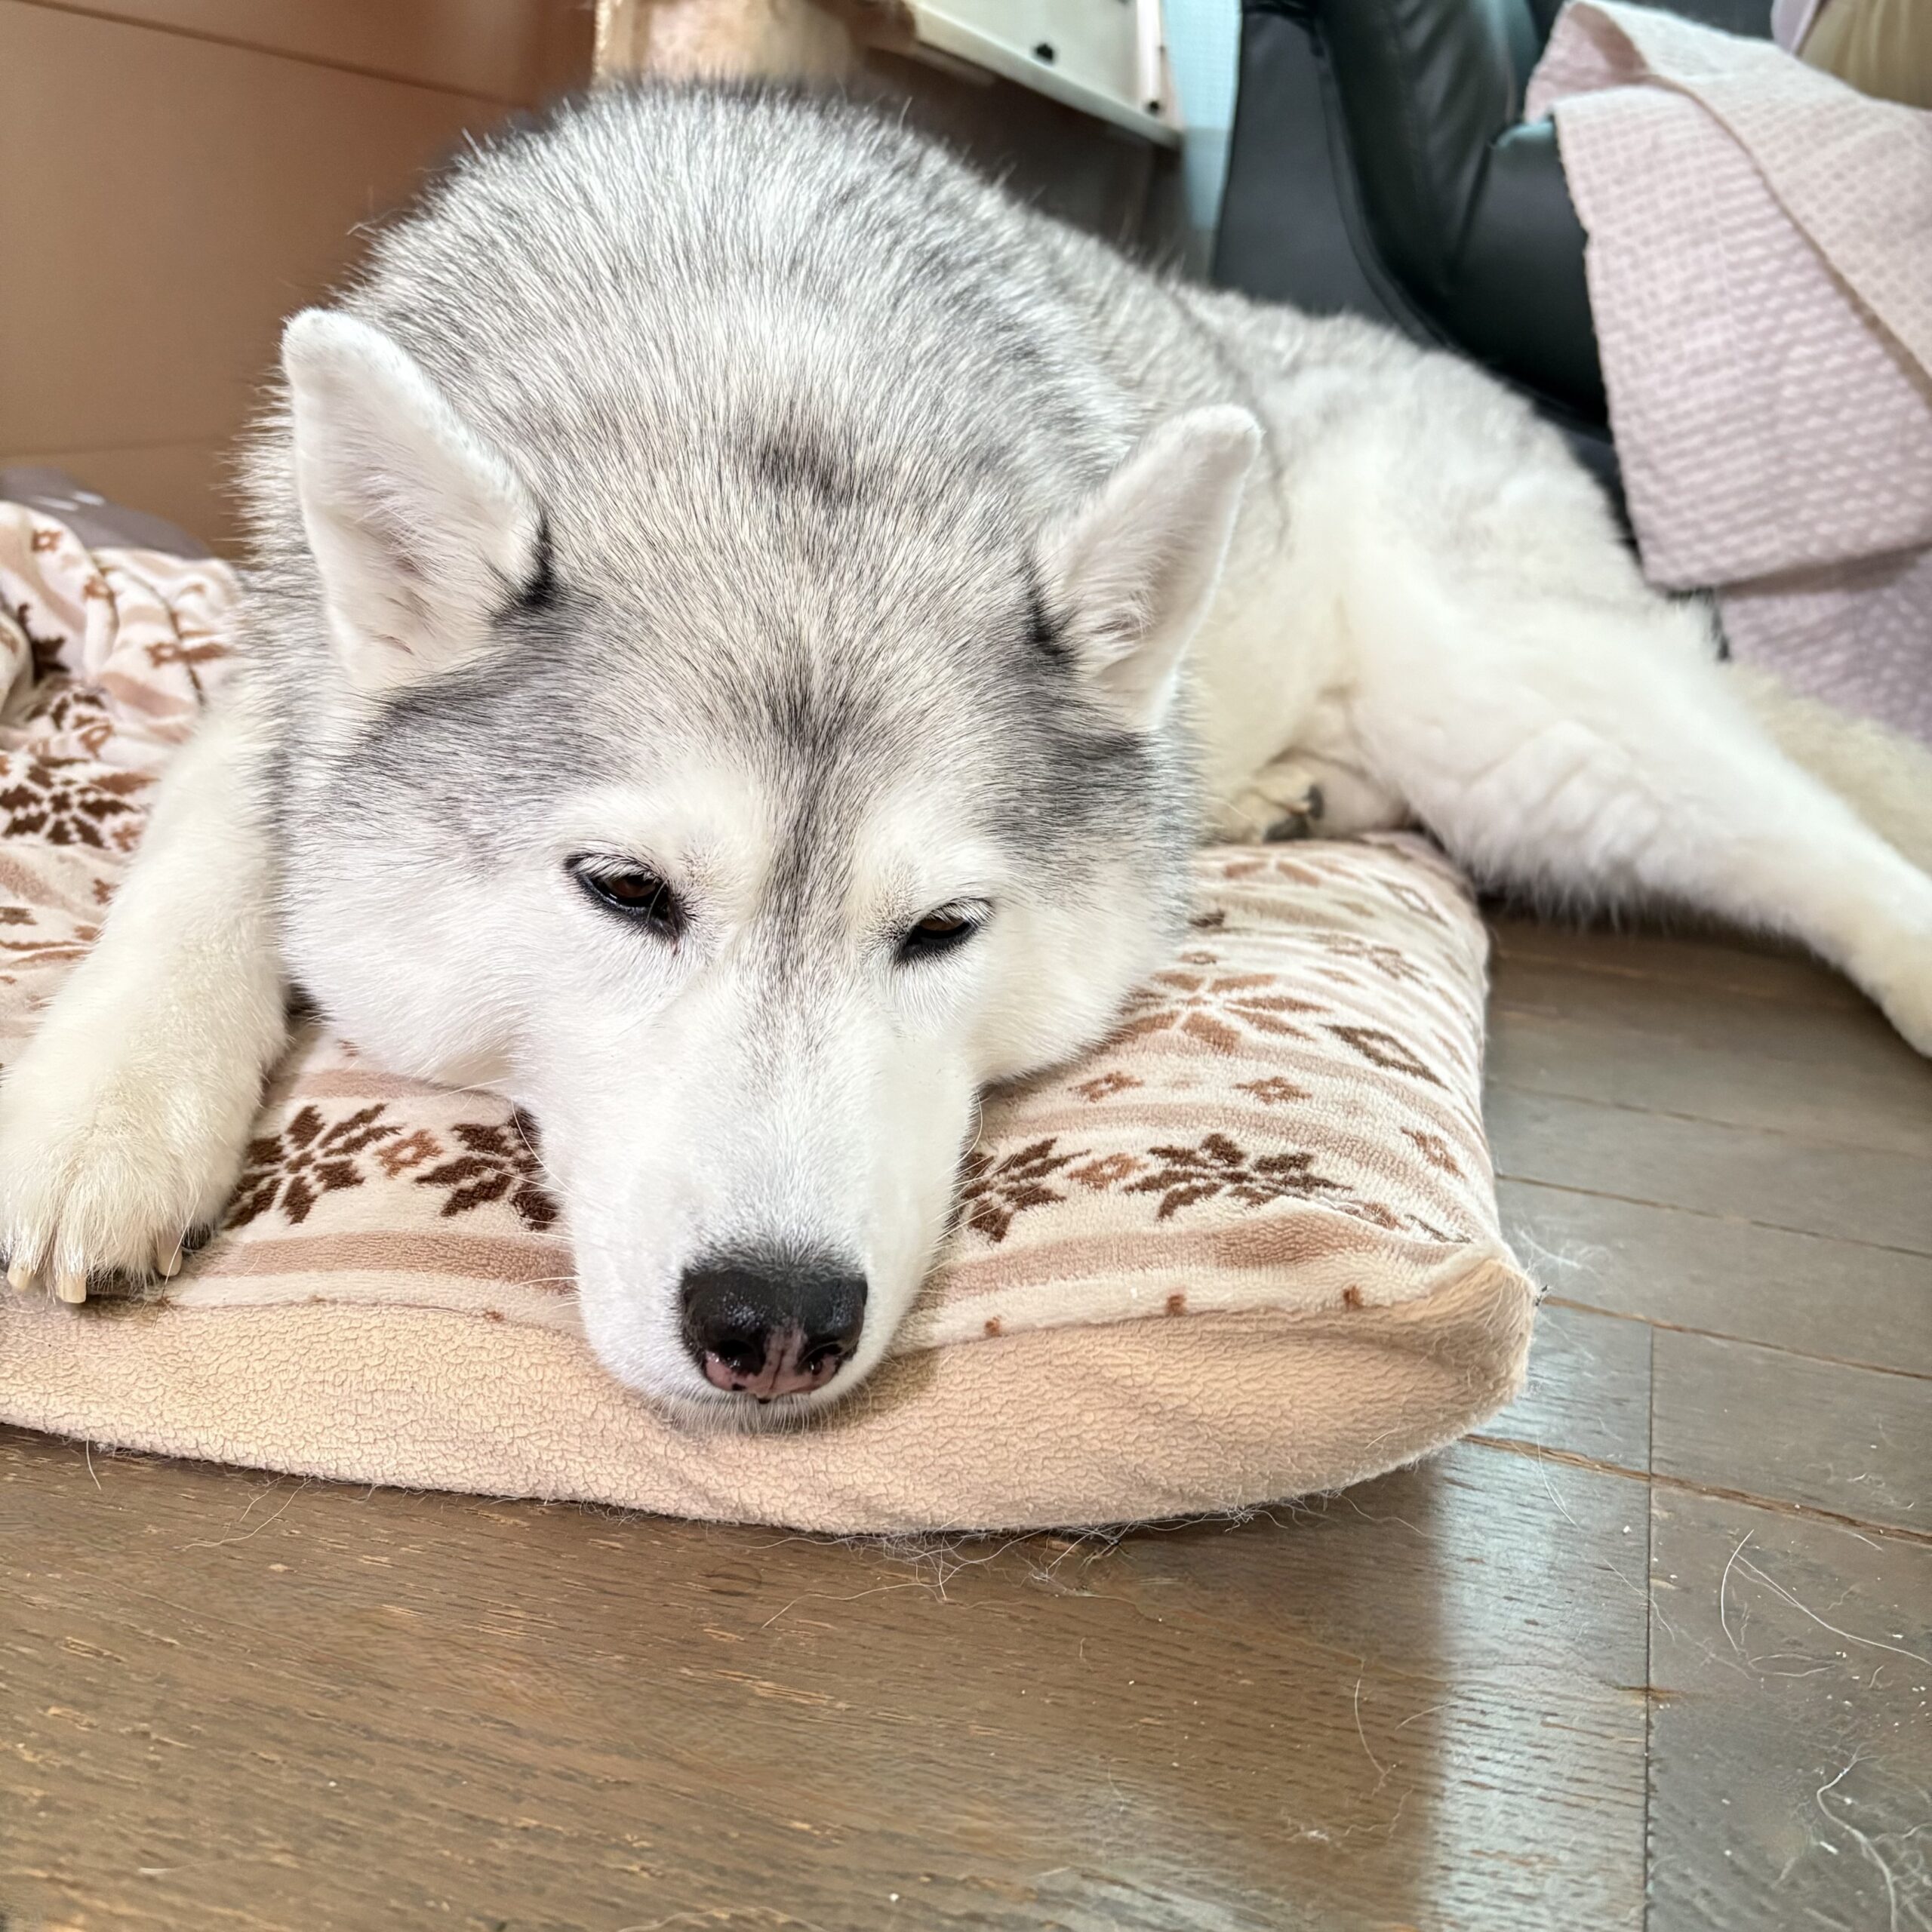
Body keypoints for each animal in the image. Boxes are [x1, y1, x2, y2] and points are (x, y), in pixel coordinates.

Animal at [2, 84, 1927, 1419]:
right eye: (622, 891)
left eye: (941, 930)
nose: (773, 1322)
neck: (765, 372)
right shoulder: (277, 674)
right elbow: (218, 836)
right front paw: (108, 1095)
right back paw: (1286, 792)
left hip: (1522, 717)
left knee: (1810, 834)